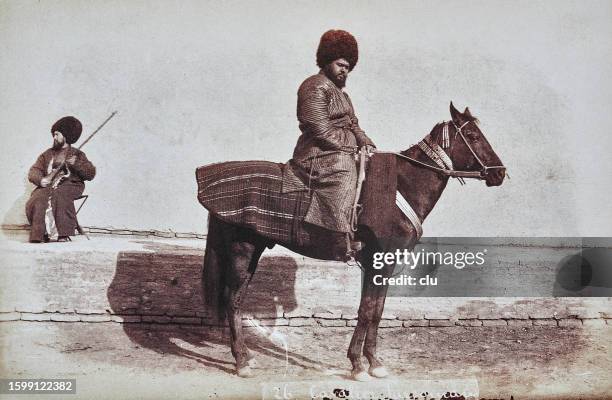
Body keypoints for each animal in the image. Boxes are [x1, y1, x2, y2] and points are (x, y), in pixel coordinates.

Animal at [198, 101, 504, 380]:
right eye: (473, 135)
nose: (500, 172)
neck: (400, 186)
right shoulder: (379, 261)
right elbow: (367, 310)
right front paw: (358, 363)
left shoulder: (382, 265)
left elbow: (376, 310)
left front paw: (373, 362)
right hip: (242, 250)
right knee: (232, 300)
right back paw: (241, 361)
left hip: (251, 252)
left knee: (235, 300)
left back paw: (246, 356)